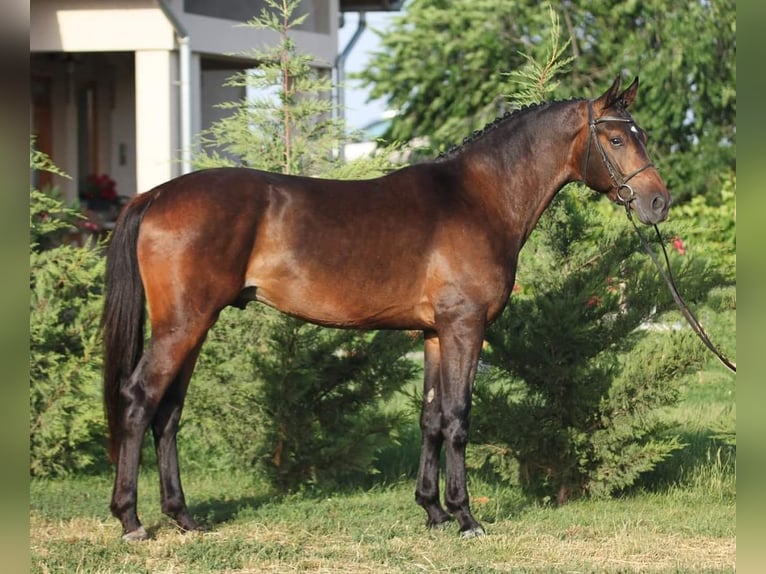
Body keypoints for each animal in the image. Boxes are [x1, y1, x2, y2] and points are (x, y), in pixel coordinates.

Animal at [103, 75, 672, 540]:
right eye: (616, 138)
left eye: (642, 134)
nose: (658, 203)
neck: (478, 199)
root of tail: (155, 196)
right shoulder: (465, 327)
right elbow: (458, 418)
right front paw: (466, 517)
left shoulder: (436, 333)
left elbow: (431, 417)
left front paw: (433, 511)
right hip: (183, 325)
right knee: (139, 399)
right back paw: (131, 521)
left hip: (193, 327)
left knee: (168, 414)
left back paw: (183, 517)